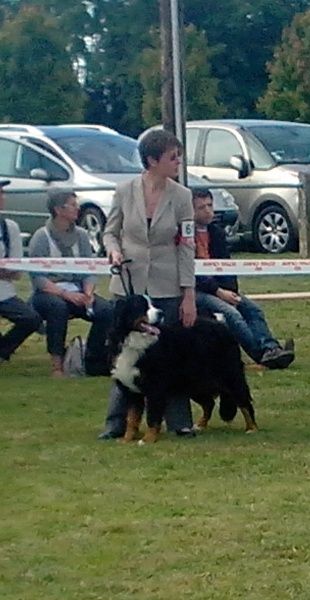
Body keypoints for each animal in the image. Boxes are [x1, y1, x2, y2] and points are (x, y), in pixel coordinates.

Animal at [110, 292, 258, 442]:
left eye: (153, 305)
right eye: (141, 306)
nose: (161, 313)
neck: (136, 343)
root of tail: (221, 325)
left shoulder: (155, 387)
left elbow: (152, 417)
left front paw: (147, 439)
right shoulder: (131, 389)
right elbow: (132, 418)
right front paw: (126, 439)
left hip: (231, 376)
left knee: (245, 403)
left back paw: (252, 428)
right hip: (195, 382)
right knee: (209, 403)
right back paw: (200, 425)